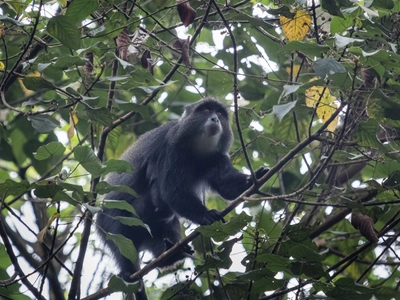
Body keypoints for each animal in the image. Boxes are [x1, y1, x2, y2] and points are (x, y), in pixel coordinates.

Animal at [95, 97, 268, 298]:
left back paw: (170, 255)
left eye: (219, 114)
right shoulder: (171, 147)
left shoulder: (216, 156)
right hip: (110, 221)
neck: (196, 147)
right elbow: (171, 190)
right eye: (206, 111)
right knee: (123, 237)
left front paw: (252, 180)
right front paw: (205, 215)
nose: (215, 120)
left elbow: (224, 183)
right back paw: (129, 271)